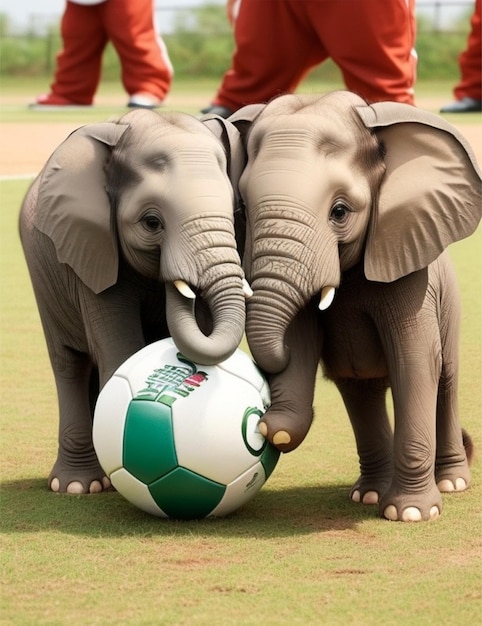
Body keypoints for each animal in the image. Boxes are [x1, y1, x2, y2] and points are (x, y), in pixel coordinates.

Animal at [20, 109, 249, 494]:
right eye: (152, 222)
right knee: (69, 365)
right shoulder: (91, 249)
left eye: (234, 215)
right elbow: (120, 348)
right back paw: (77, 486)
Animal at [233, 91, 478, 520]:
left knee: (445, 378)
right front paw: (279, 429)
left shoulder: (409, 274)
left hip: (450, 300)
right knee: (359, 388)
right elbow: (300, 341)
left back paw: (450, 483)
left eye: (340, 211)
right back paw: (368, 495)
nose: (260, 422)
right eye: (243, 211)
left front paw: (411, 514)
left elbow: (416, 362)